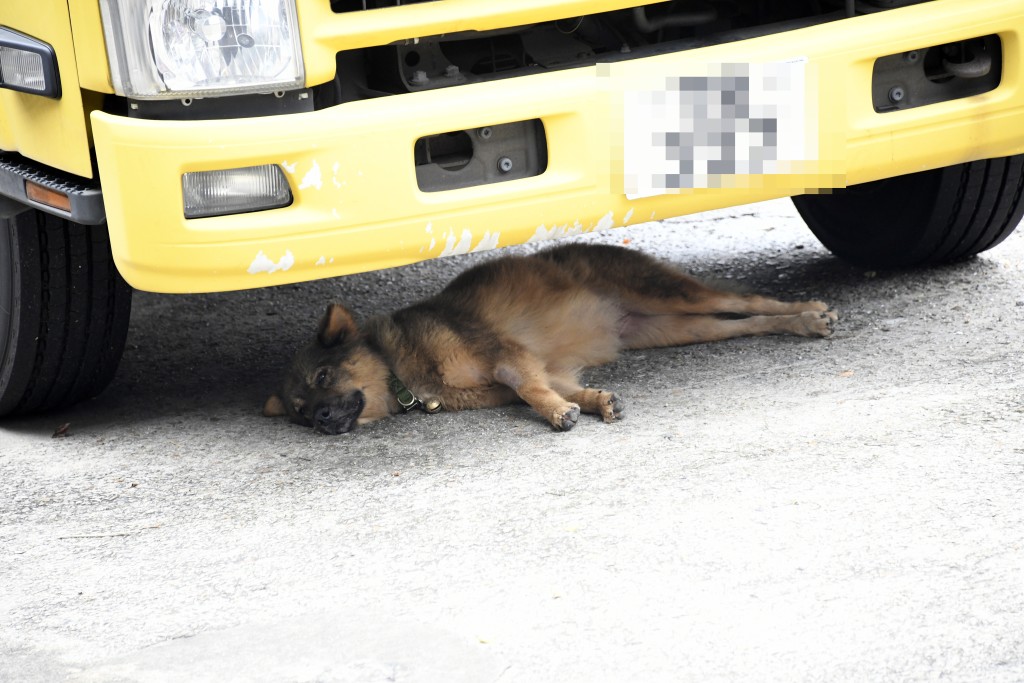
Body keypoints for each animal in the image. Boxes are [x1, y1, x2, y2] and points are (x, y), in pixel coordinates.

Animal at [260, 245, 835, 436]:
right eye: (299, 411)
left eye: (324, 375)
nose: (322, 421)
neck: (403, 370)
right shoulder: (540, 368)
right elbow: (554, 387)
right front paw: (593, 401)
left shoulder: (505, 356)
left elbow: (531, 391)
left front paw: (559, 414)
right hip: (672, 329)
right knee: (740, 323)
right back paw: (798, 324)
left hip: (668, 294)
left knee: (753, 299)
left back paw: (810, 314)